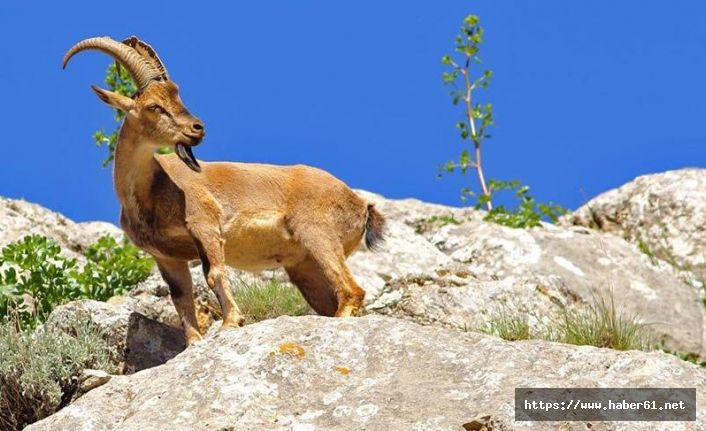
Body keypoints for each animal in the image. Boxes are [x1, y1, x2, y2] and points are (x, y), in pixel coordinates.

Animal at [64, 37, 384, 348]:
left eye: (177, 97)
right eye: (154, 106)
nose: (198, 128)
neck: (150, 192)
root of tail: (360, 204)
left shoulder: (204, 224)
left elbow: (215, 273)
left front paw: (231, 322)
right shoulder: (167, 257)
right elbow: (180, 296)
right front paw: (193, 343)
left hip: (316, 233)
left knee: (352, 290)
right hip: (304, 267)